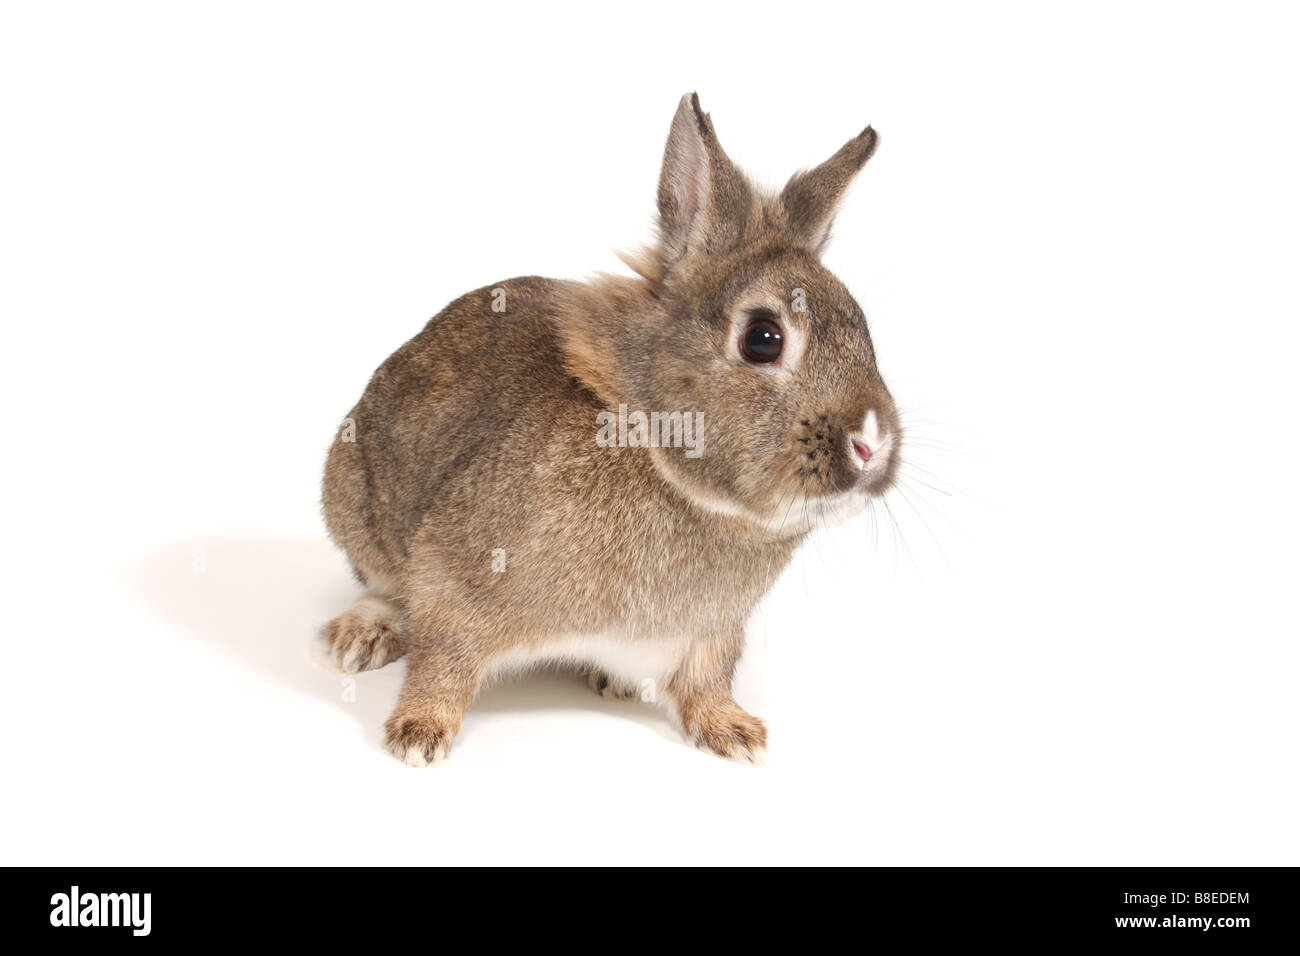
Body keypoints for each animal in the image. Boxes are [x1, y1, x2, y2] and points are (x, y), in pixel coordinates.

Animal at [322, 93, 901, 766]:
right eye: (763, 338)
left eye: (864, 331)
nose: (871, 443)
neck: (657, 455)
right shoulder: (454, 583)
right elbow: (442, 660)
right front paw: (417, 736)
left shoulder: (711, 635)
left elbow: (707, 681)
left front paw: (734, 733)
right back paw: (358, 638)